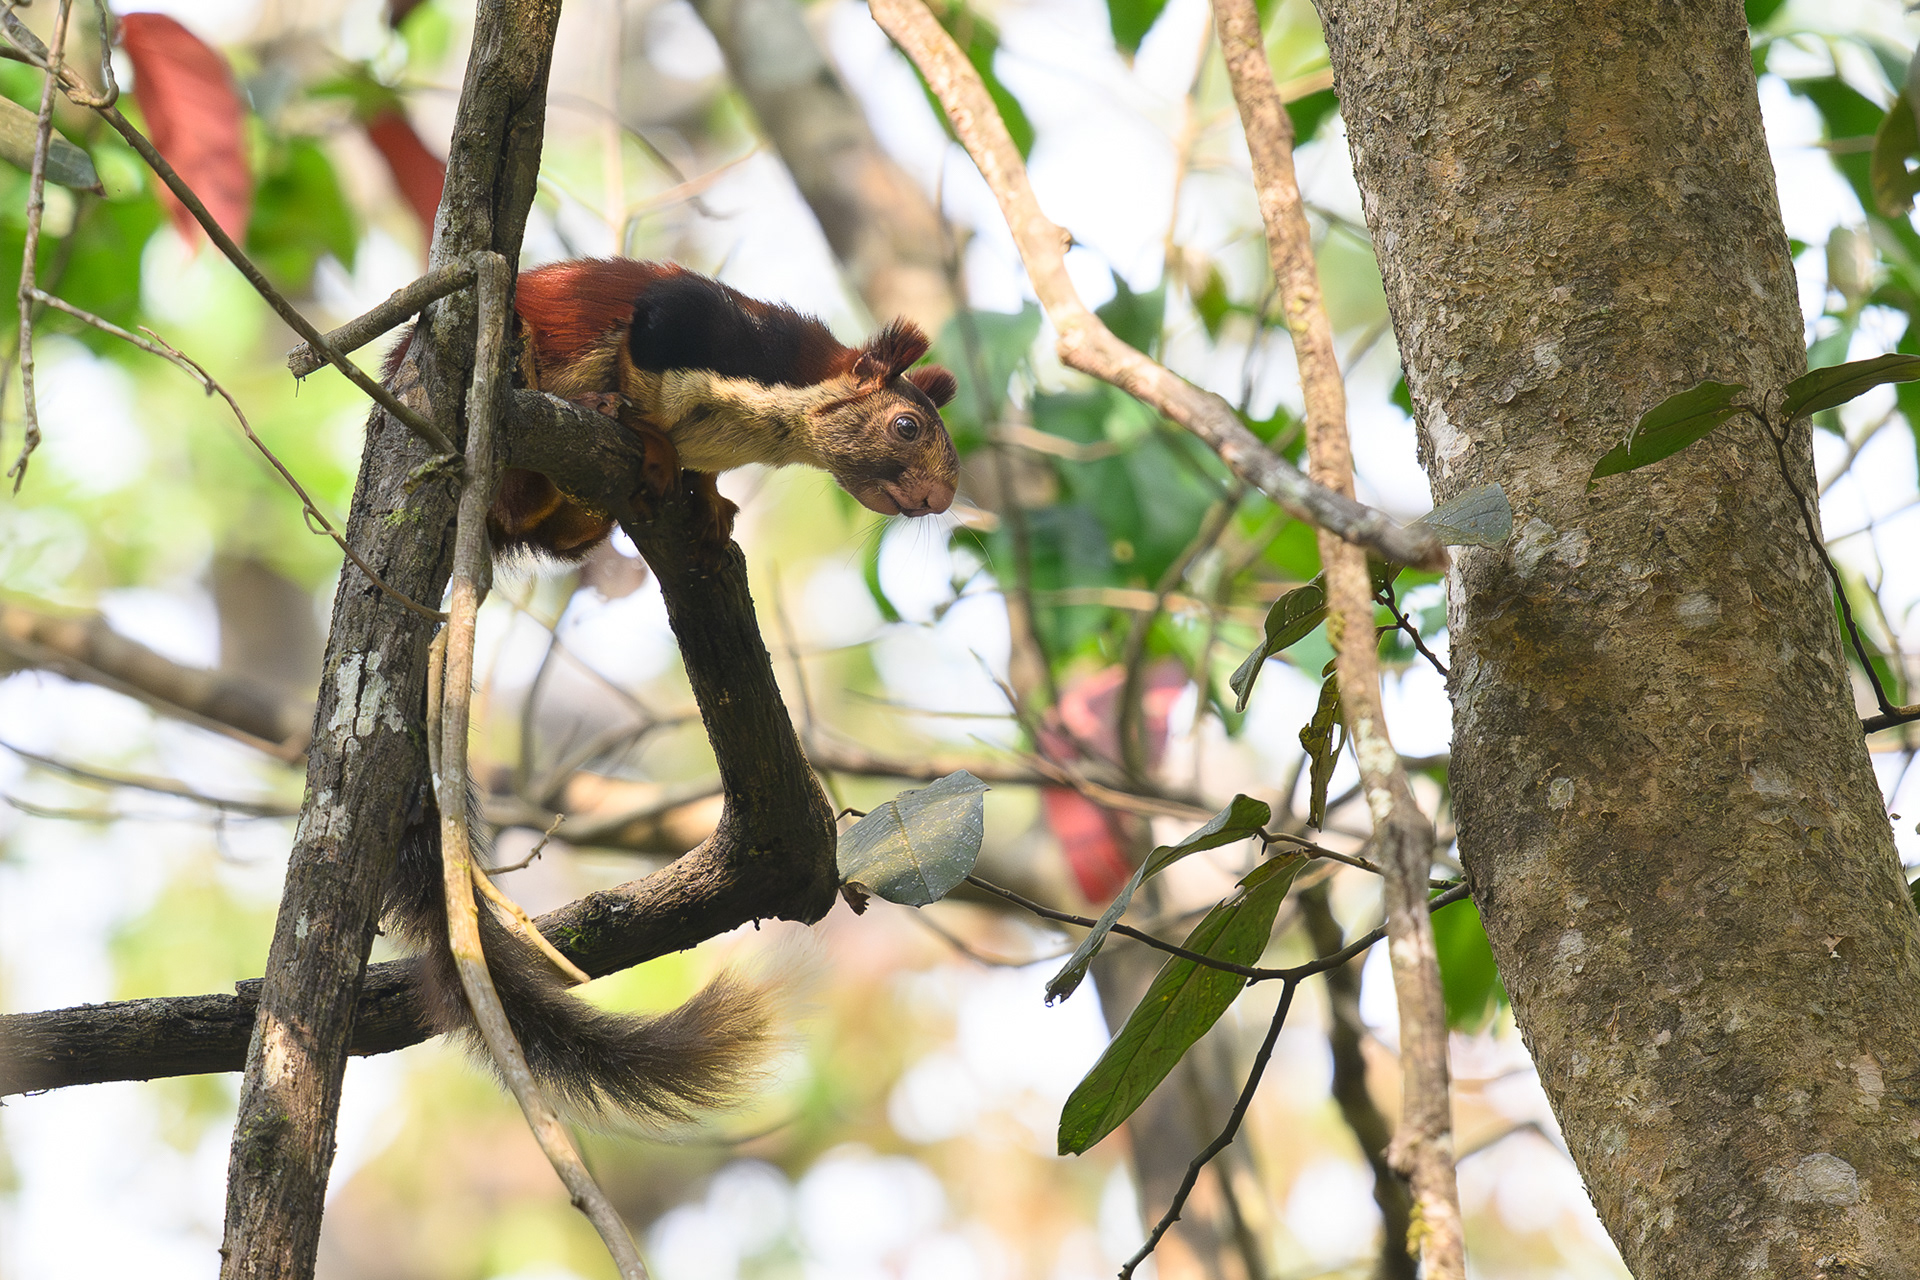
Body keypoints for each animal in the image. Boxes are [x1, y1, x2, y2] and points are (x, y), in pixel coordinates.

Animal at [381, 260, 957, 1121]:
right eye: (908, 428)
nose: (939, 500)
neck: (769, 428)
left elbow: (705, 478)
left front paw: (712, 502)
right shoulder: (694, 328)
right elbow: (643, 357)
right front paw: (647, 433)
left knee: (550, 531)